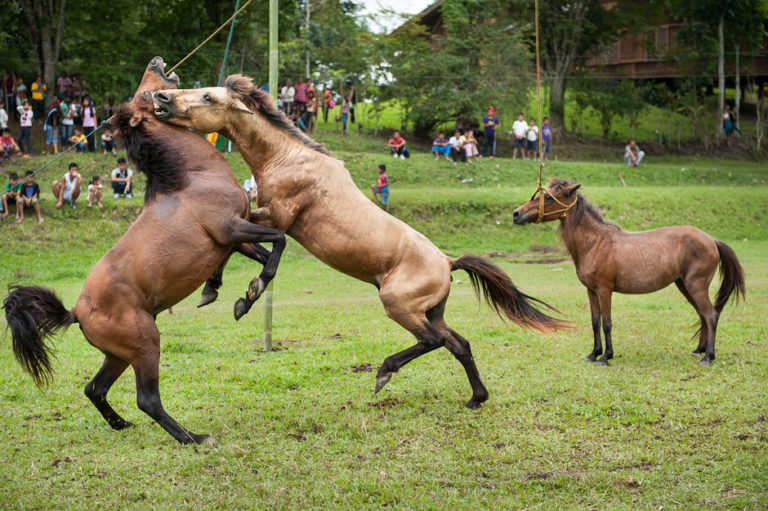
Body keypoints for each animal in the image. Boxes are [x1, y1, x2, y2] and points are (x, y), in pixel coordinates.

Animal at [3, 58, 284, 446]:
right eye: (146, 95)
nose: (156, 62)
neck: (192, 176)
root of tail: (75, 312)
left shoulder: (235, 237)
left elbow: (263, 254)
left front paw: (237, 294)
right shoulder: (231, 228)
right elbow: (279, 241)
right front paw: (243, 291)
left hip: (119, 356)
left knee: (94, 389)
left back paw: (121, 424)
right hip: (146, 345)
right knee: (147, 399)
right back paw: (193, 438)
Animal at [152, 77, 568, 412]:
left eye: (207, 96)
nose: (161, 97)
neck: (287, 159)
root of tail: (448, 262)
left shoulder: (277, 218)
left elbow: (269, 248)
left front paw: (249, 292)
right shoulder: (256, 217)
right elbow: (233, 244)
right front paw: (215, 291)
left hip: (398, 304)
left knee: (433, 341)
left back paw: (384, 372)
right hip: (430, 311)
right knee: (458, 344)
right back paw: (476, 398)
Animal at [510, 180, 744, 368]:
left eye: (549, 197)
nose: (516, 214)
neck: (595, 242)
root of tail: (712, 240)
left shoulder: (604, 290)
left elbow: (606, 323)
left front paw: (606, 357)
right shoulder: (591, 291)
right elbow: (595, 322)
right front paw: (593, 354)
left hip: (696, 286)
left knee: (711, 315)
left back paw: (708, 357)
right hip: (684, 286)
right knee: (703, 315)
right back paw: (700, 350)